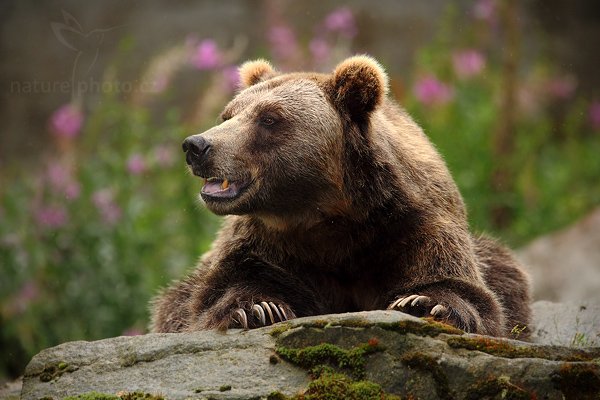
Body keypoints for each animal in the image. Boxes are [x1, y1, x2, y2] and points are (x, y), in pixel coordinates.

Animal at [150, 56, 528, 338]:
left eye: (268, 118)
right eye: (227, 115)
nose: (197, 146)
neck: (328, 214)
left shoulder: (412, 223)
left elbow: (461, 285)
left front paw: (424, 303)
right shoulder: (265, 243)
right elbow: (217, 292)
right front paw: (257, 308)